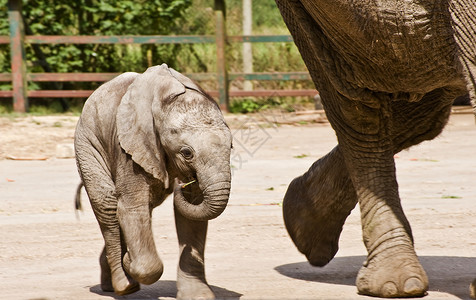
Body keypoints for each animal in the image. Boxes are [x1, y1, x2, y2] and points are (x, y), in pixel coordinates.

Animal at [74, 63, 232, 298]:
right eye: (187, 153)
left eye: (231, 147)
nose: (183, 183)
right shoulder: (130, 147)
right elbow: (131, 208)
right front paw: (129, 262)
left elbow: (192, 216)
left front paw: (198, 296)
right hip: (87, 143)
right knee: (108, 205)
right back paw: (124, 285)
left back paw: (111, 283)